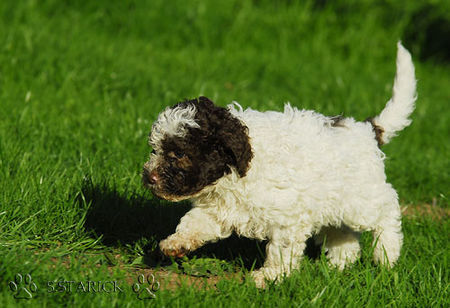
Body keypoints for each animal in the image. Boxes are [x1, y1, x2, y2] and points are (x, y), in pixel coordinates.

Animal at [142, 42, 416, 288]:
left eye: (179, 153)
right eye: (155, 149)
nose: (149, 178)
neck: (236, 170)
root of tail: (367, 130)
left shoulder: (287, 218)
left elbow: (282, 250)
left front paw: (269, 277)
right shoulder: (220, 208)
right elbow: (195, 221)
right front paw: (176, 243)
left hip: (361, 200)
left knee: (388, 208)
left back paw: (386, 255)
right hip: (332, 204)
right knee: (343, 236)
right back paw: (337, 267)